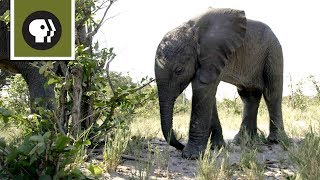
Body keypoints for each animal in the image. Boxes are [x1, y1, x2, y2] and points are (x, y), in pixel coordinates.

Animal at [154, 8, 286, 159]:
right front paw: (217, 147)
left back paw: (275, 141)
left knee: (272, 93)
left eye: (179, 70)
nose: (180, 145)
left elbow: (202, 87)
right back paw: (243, 141)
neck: (192, 32)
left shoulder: (214, 55)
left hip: (273, 52)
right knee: (248, 96)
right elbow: (209, 95)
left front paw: (191, 156)